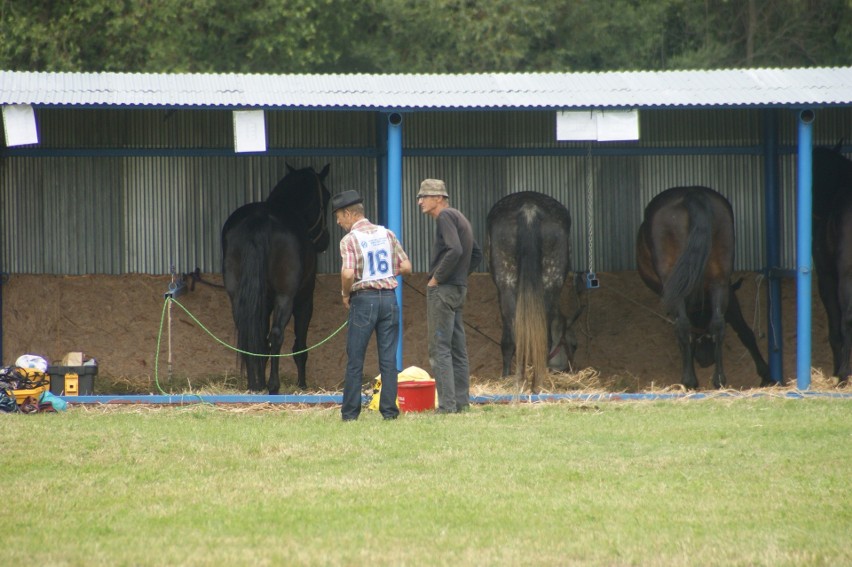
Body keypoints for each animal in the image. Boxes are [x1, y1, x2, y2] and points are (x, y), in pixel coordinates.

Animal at [221, 164, 332, 394]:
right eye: (326, 196)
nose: (325, 241)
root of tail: (259, 219)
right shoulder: (304, 300)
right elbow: (299, 344)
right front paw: (301, 384)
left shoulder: (263, 301)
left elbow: (260, 340)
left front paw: (260, 382)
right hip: (285, 297)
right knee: (276, 334)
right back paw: (274, 385)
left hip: (238, 297)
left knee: (248, 333)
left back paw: (254, 385)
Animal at [486, 193, 584, 392]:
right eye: (574, 345)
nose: (569, 371)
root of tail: (529, 209)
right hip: (549, 282)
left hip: (507, 284)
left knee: (513, 338)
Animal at [632, 186, 772, 390]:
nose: (706, 360)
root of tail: (692, 194)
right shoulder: (729, 292)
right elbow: (742, 330)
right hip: (720, 280)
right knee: (718, 324)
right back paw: (720, 380)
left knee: (683, 326)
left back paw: (689, 381)